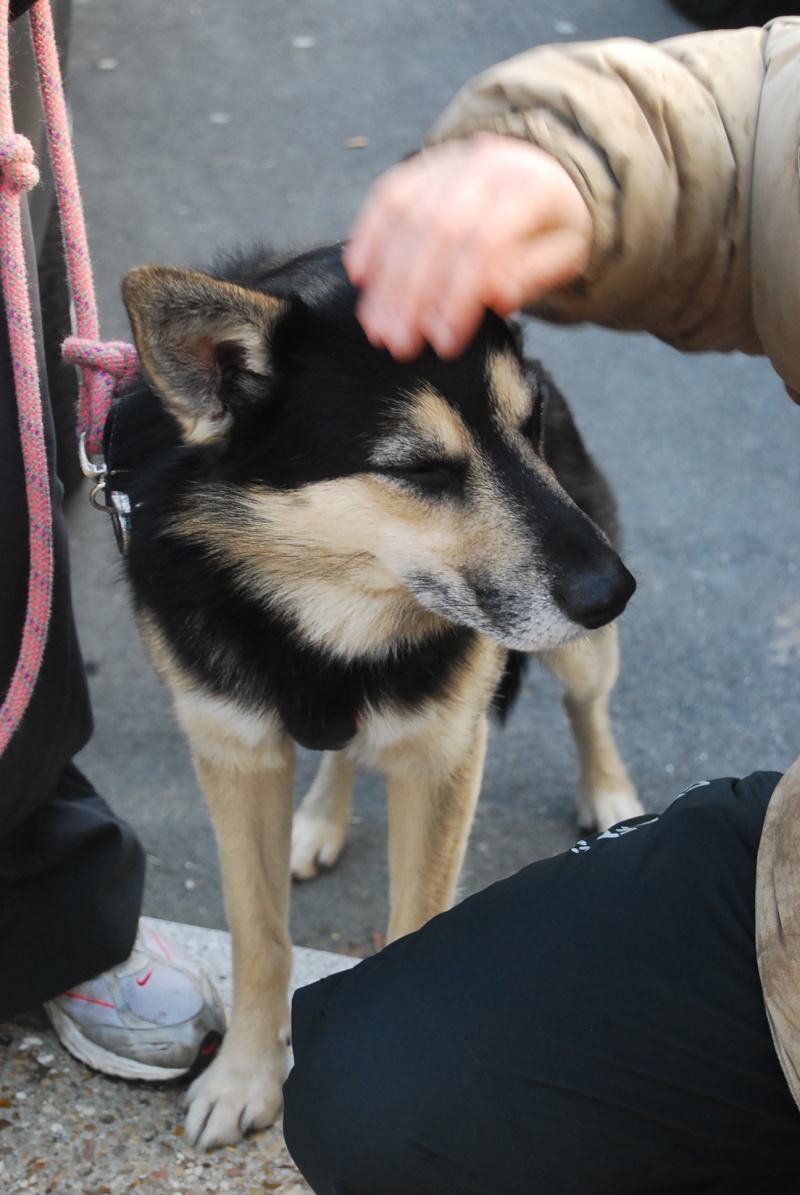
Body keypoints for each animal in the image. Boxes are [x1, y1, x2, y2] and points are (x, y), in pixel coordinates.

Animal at [112, 242, 640, 1147]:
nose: (614, 591)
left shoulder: (443, 753)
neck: (324, 614)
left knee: (586, 702)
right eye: (419, 468)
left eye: (526, 423)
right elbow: (257, 932)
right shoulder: (233, 751)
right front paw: (245, 1076)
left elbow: (416, 922)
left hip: (573, 641)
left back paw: (609, 793)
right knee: (346, 749)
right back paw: (317, 820)